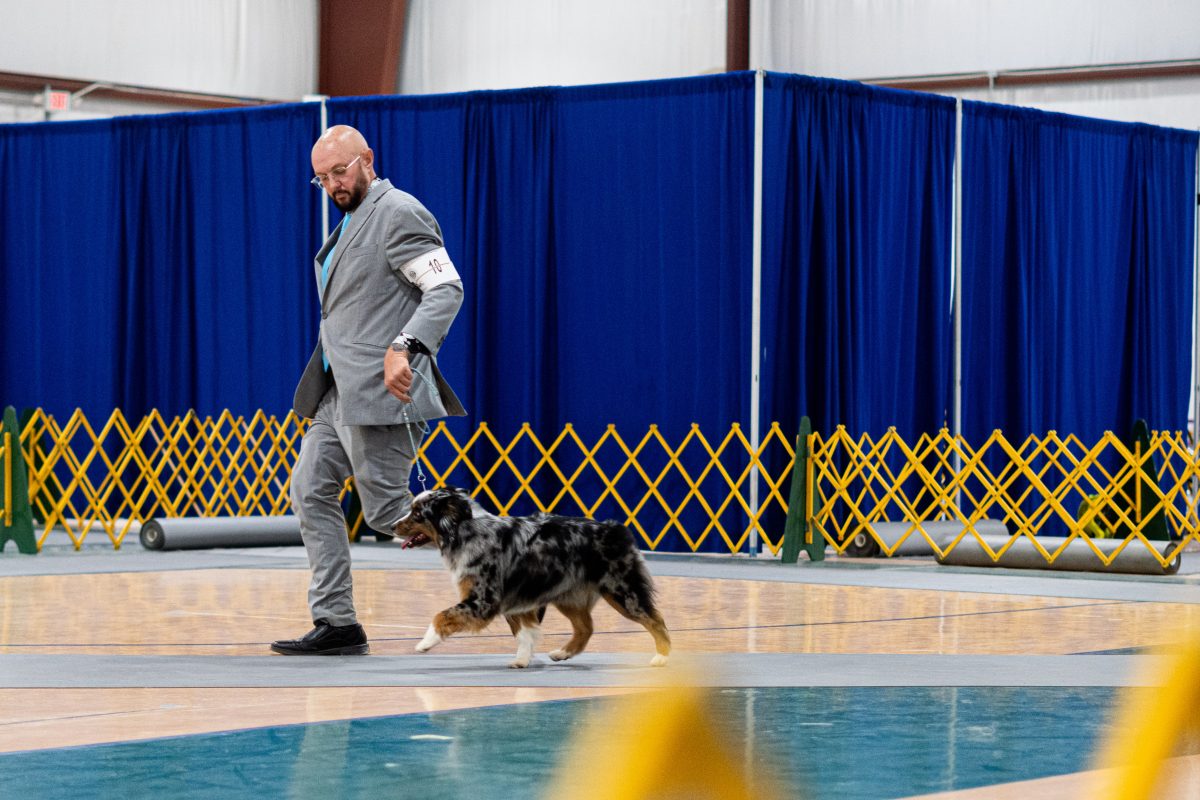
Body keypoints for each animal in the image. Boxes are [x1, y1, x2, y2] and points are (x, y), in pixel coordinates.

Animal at [395, 486, 671, 668]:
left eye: (417, 513)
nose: (391, 526)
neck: (466, 530)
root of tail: (617, 529)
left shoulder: (484, 600)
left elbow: (441, 615)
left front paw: (425, 642)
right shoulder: (516, 600)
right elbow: (525, 632)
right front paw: (522, 659)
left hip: (622, 591)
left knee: (655, 620)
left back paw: (662, 657)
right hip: (568, 597)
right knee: (586, 627)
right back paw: (562, 653)